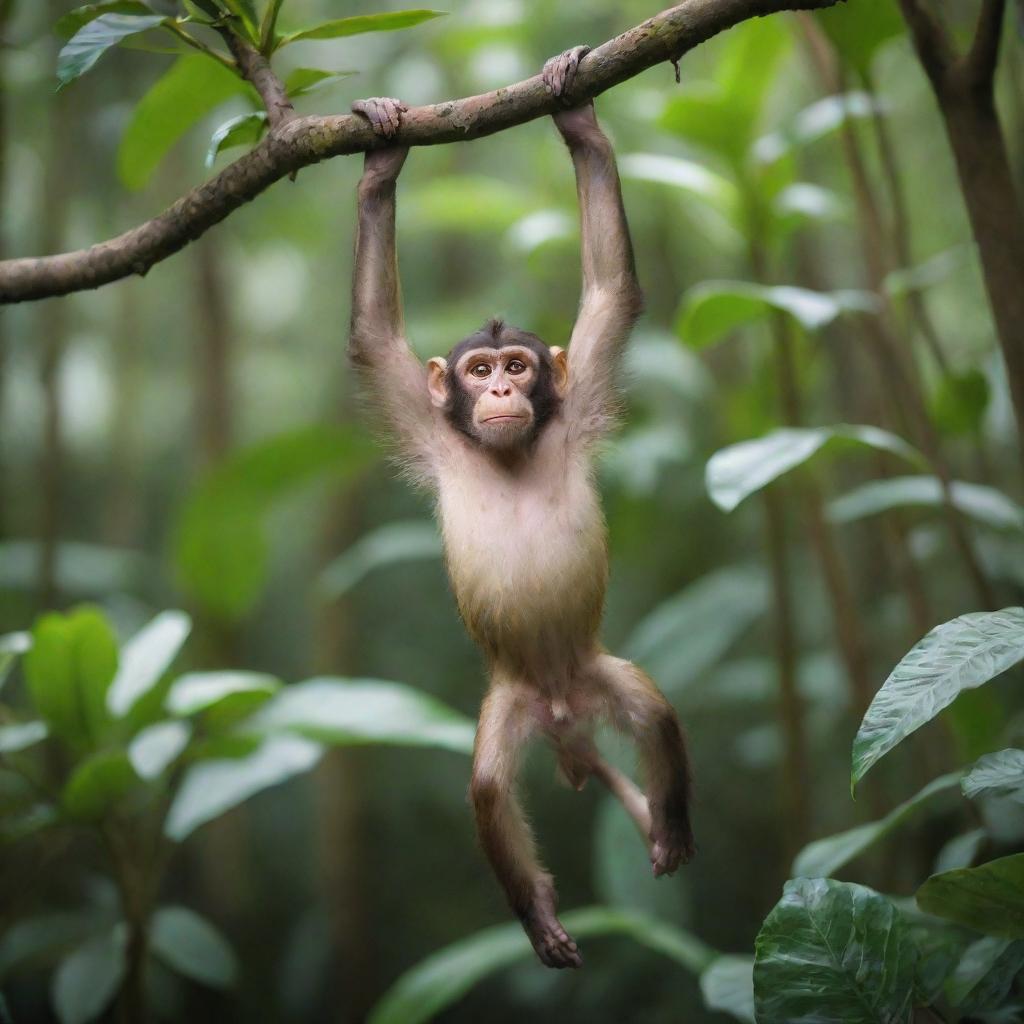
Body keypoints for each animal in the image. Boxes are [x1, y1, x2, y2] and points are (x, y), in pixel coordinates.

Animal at [348, 46, 692, 966]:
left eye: (518, 367)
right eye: (477, 372)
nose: (501, 390)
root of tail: (564, 718)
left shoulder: (580, 399)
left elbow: (611, 294)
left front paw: (575, 115)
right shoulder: (425, 423)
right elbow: (375, 337)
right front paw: (382, 162)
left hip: (597, 672)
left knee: (654, 715)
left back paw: (671, 828)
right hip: (509, 703)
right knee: (488, 788)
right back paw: (536, 912)